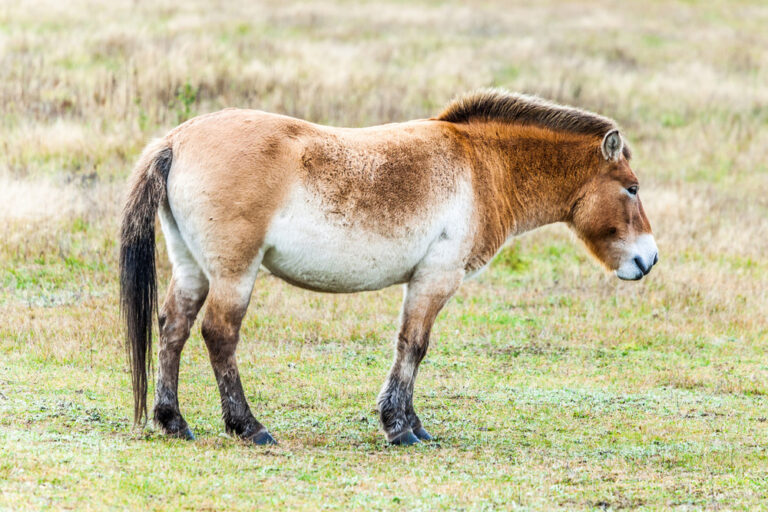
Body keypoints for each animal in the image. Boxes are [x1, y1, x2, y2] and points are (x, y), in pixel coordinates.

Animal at [119, 89, 658, 446]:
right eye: (631, 188)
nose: (648, 259)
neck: (482, 165)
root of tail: (176, 140)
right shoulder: (435, 278)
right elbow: (414, 346)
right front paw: (400, 427)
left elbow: (410, 348)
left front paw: (409, 423)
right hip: (234, 274)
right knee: (219, 335)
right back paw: (248, 427)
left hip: (192, 268)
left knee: (173, 328)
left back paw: (172, 421)